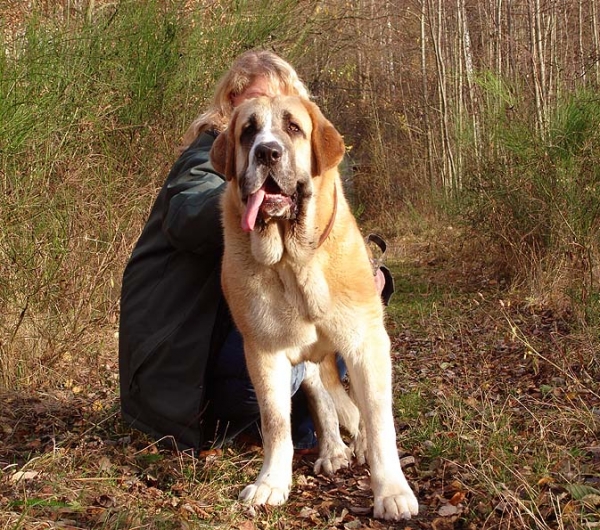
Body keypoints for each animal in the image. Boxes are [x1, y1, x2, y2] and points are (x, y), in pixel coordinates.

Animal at [210, 95, 418, 520]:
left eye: (293, 128)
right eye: (248, 131)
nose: (267, 152)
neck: (293, 260)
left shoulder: (367, 344)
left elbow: (379, 419)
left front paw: (391, 491)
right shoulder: (265, 352)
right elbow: (276, 422)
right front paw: (270, 483)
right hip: (306, 361)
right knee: (323, 401)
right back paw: (334, 450)